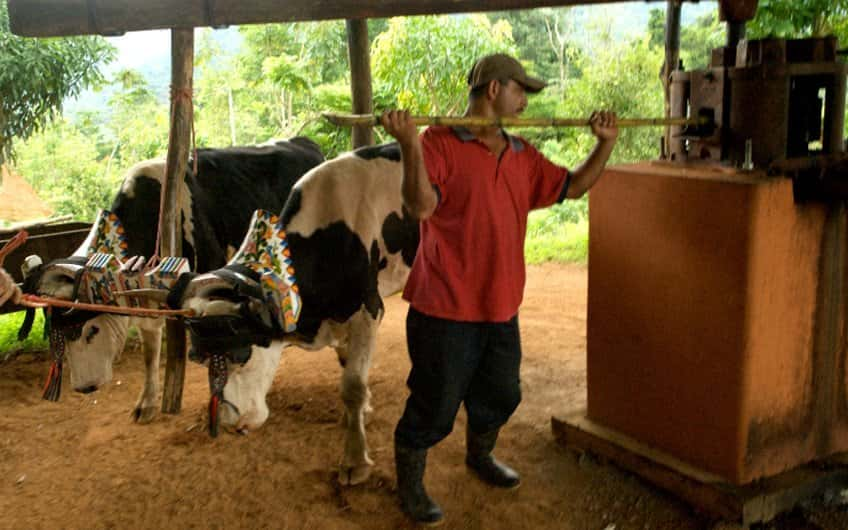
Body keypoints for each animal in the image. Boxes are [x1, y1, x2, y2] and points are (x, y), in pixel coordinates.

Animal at [20, 139, 324, 420]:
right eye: (57, 337)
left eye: (91, 330)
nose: (83, 388)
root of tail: (303, 142)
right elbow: (150, 349)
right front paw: (147, 403)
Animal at [171, 144, 420, 482]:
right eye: (198, 358)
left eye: (242, 355)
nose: (229, 422)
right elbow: (348, 366)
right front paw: (358, 415)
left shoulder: (368, 308)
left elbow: (352, 386)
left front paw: (355, 461)